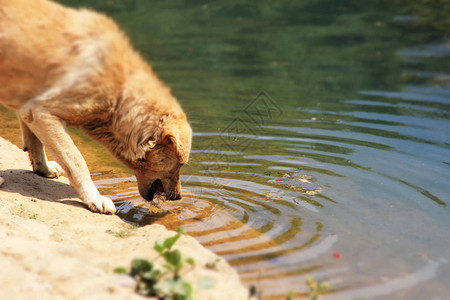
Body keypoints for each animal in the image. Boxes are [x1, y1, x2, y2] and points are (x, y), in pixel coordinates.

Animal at [0, 0, 192, 216]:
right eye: (181, 164)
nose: (178, 197)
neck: (119, 95)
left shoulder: (28, 108)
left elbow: (34, 143)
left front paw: (44, 170)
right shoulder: (42, 113)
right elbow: (77, 161)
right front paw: (95, 199)